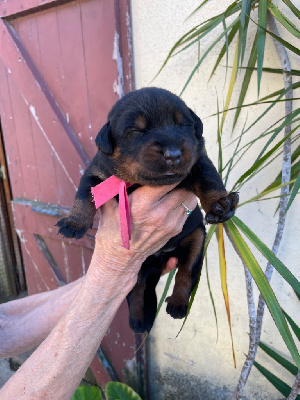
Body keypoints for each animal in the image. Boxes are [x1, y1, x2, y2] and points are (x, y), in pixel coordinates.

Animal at [56, 88, 239, 334]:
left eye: (183, 125)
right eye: (136, 130)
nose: (173, 154)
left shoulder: (199, 161)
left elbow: (209, 180)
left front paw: (220, 204)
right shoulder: (96, 174)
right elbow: (84, 195)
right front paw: (74, 221)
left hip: (197, 238)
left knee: (185, 272)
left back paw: (177, 305)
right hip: (137, 268)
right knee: (137, 290)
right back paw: (139, 321)